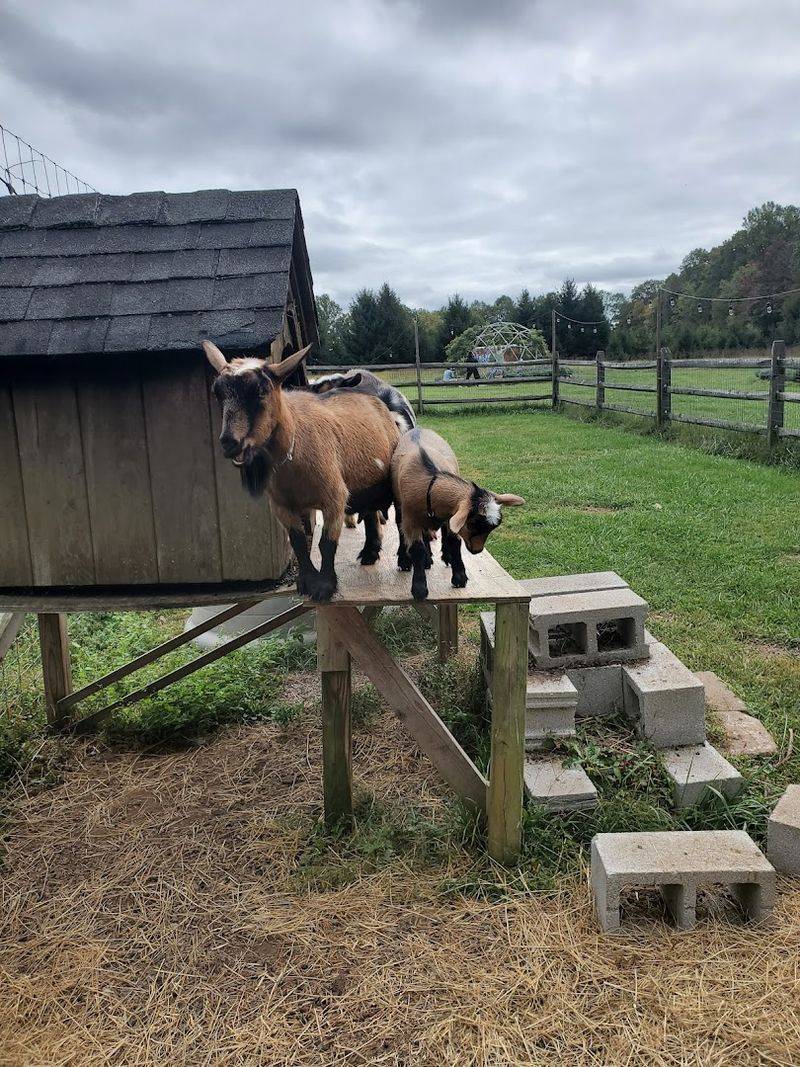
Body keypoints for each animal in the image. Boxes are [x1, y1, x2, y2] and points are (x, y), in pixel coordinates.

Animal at [203, 342, 400, 602]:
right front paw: (306, 581)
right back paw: (369, 552)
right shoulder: (281, 505)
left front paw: (325, 585)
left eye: (261, 390)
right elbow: (297, 541)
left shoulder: (334, 497)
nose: (229, 442)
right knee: (369, 513)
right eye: (217, 392)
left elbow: (326, 543)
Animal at [391, 427, 524, 600]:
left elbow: (454, 542)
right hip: (400, 506)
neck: (431, 480)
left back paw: (442, 557)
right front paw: (419, 589)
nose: (477, 550)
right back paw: (407, 561)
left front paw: (459, 577)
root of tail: (418, 428)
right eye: (472, 524)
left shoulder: (450, 517)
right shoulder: (411, 520)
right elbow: (416, 548)